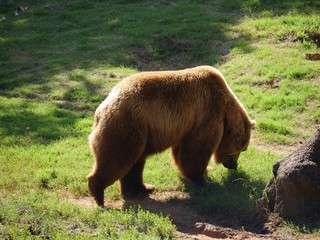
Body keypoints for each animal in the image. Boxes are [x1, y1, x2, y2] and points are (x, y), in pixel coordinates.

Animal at [87, 65, 255, 206]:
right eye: (243, 148)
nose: (234, 166)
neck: (226, 108)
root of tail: (101, 109)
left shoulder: (186, 125)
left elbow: (182, 152)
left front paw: (205, 171)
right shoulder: (207, 112)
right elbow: (197, 149)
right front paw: (204, 181)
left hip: (141, 132)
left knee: (135, 162)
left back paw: (142, 188)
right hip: (127, 125)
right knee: (118, 156)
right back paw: (98, 193)